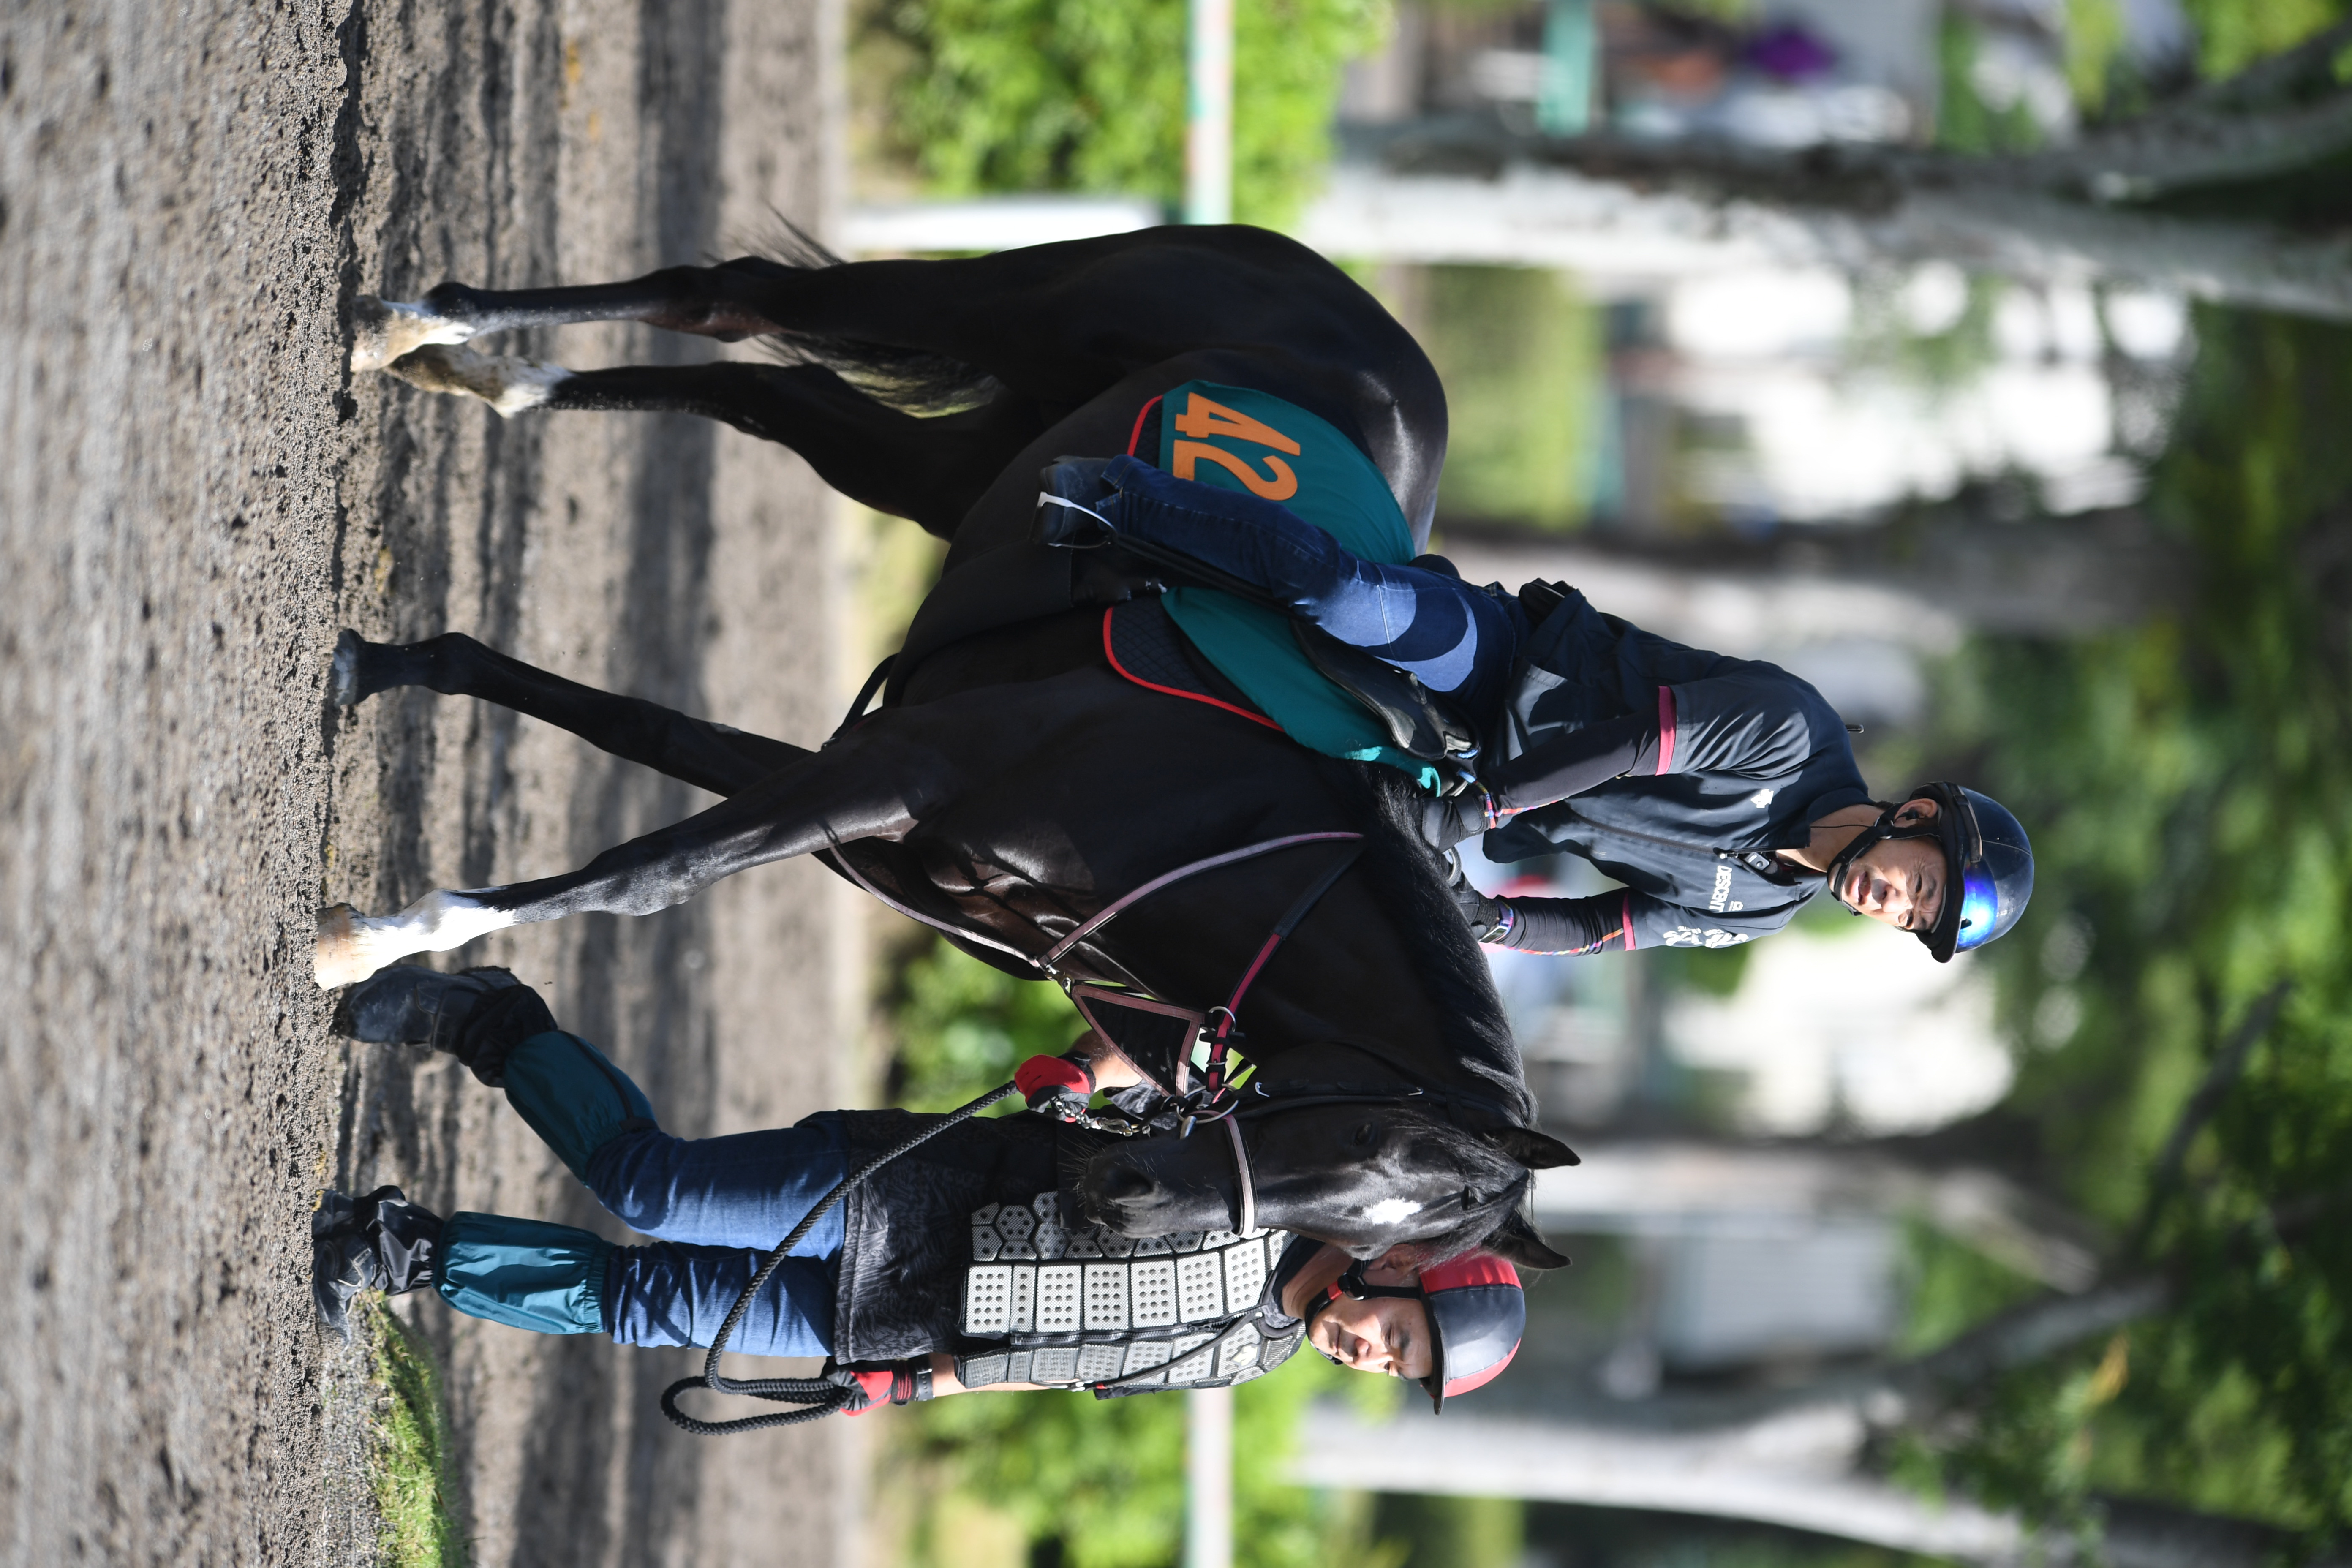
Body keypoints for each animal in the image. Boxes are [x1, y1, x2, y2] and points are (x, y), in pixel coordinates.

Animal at [326, 225, 1573, 1268]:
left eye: (1370, 1235)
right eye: (1363, 1152)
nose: (1120, 1201)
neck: (1228, 821)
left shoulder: (882, 813)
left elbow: (638, 726)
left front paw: (399, 667)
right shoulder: (902, 767)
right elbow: (652, 871)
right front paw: (381, 939)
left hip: (951, 471)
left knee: (767, 388)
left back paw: (488, 380)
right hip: (1016, 309)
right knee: (728, 298)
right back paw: (418, 327)